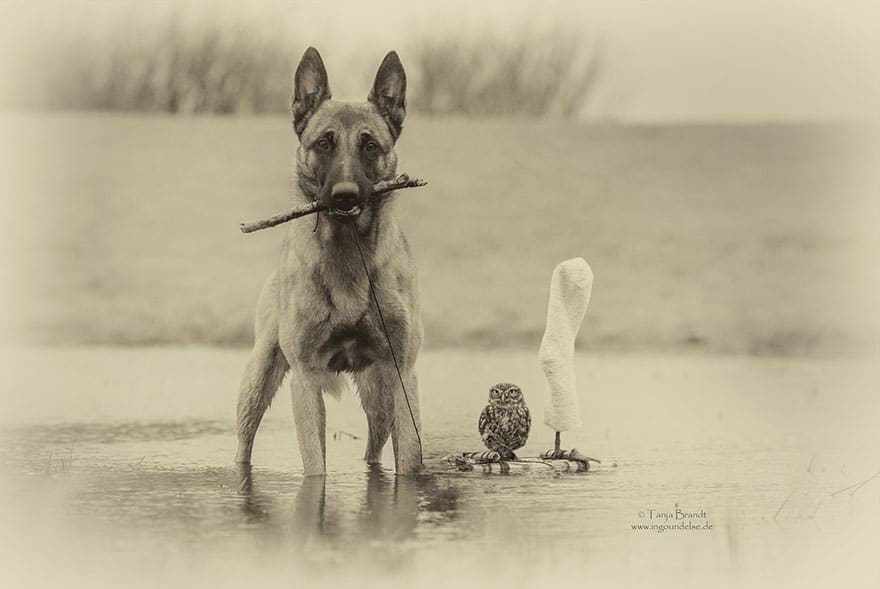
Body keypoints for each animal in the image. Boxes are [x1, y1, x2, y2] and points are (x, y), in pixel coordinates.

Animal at [235, 48, 424, 476]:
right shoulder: (305, 380)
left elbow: (408, 459)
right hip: (258, 378)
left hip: (379, 394)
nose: (344, 196)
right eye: (324, 142)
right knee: (243, 444)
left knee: (374, 447)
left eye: (369, 145)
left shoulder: (402, 374)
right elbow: (315, 465)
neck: (349, 255)